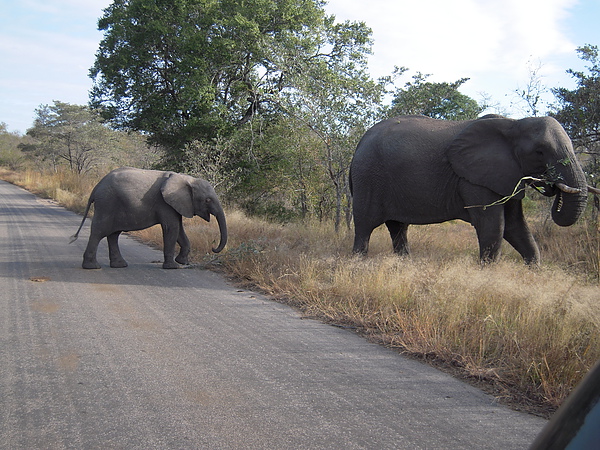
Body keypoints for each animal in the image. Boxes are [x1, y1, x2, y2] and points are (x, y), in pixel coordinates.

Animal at [70, 168, 229, 268]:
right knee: (98, 232)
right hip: (107, 204)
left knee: (113, 235)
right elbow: (172, 228)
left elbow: (179, 229)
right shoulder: (164, 204)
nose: (213, 248)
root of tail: (96, 188)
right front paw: (173, 267)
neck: (187, 179)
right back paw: (92, 267)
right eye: (207, 200)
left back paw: (120, 265)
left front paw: (182, 262)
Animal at [350, 114, 592, 266]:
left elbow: (516, 227)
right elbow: (493, 226)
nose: (551, 185)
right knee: (364, 227)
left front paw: (534, 273)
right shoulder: (474, 180)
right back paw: (357, 264)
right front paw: (488, 276)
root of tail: (359, 143)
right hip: (368, 177)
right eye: (540, 152)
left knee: (398, 227)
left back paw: (404, 264)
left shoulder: (506, 174)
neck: (513, 123)